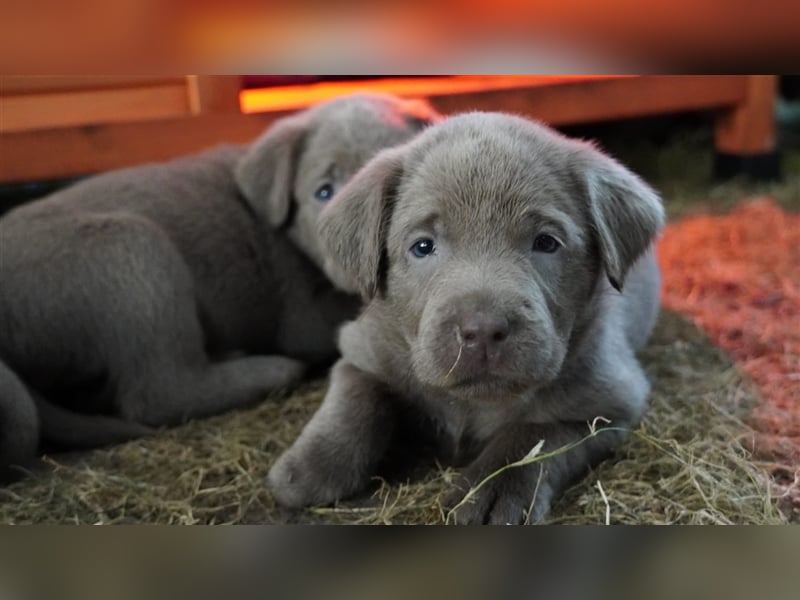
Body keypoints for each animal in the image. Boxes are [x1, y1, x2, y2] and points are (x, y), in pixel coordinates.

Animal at [268, 112, 664, 524]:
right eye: (423, 246)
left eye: (546, 242)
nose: (484, 330)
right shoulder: (364, 348)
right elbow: (356, 398)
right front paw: (309, 469)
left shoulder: (609, 401)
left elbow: (532, 436)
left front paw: (490, 495)